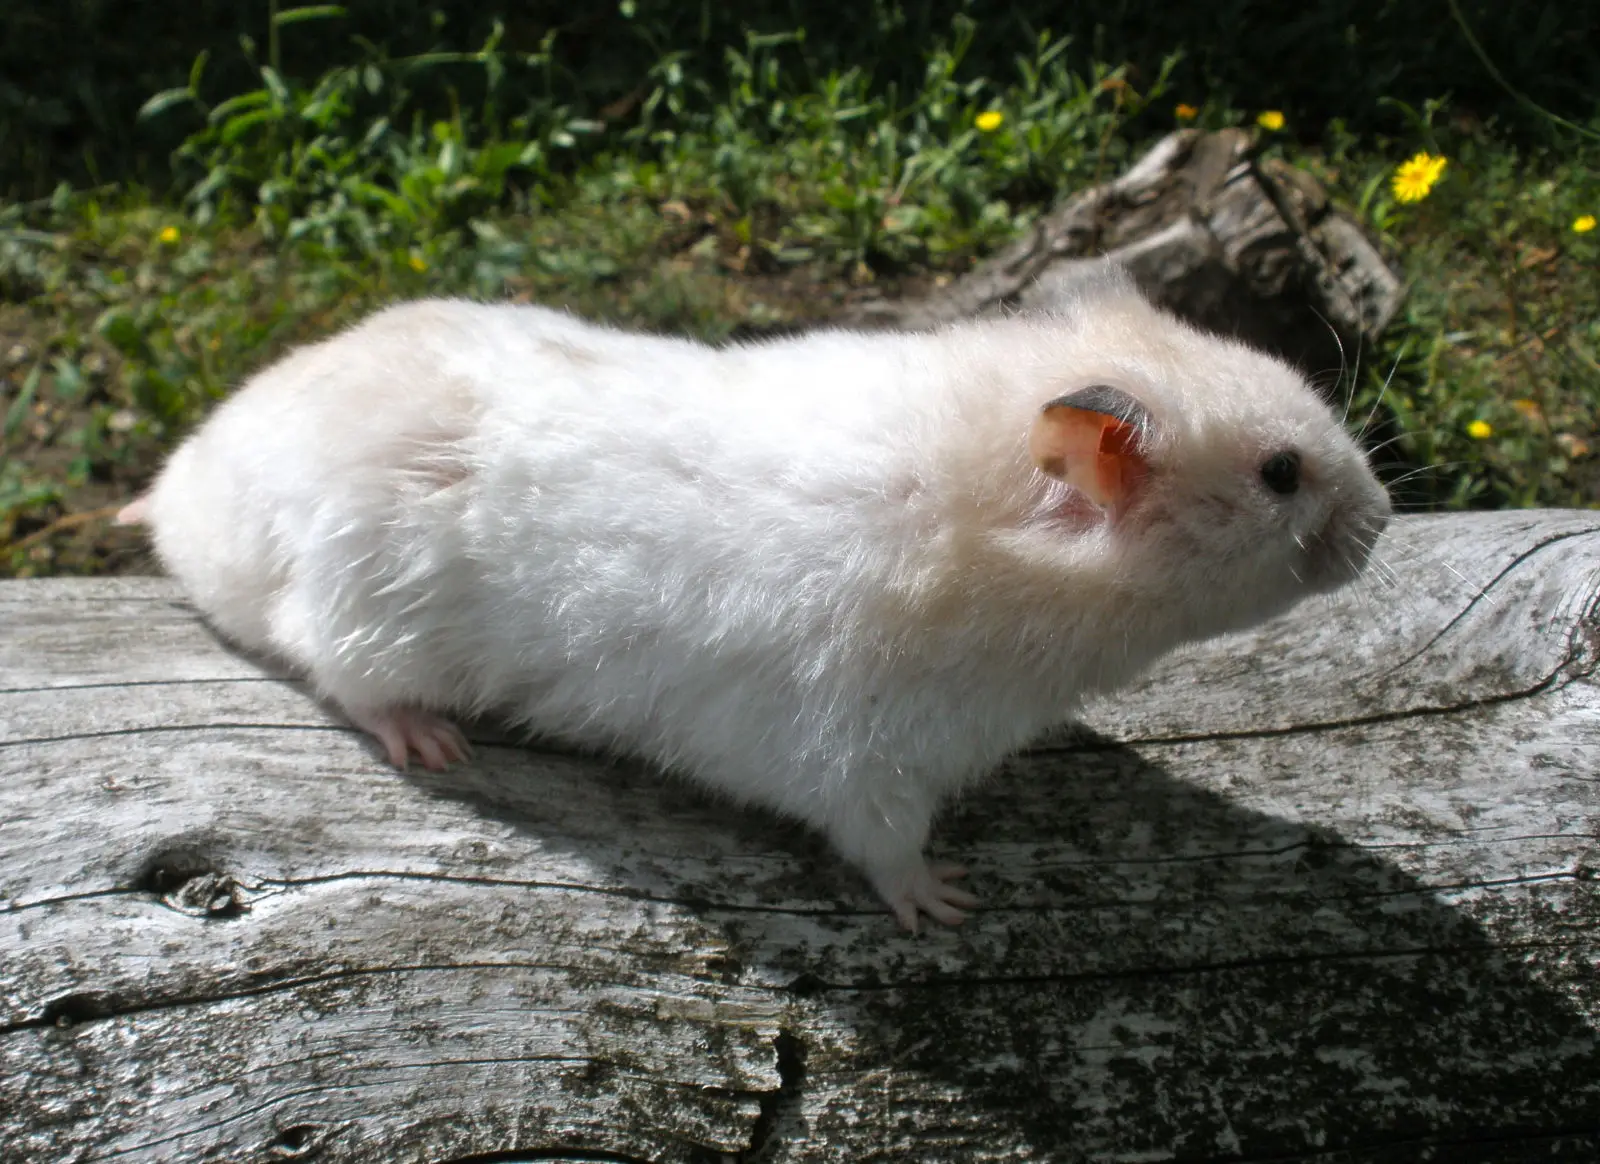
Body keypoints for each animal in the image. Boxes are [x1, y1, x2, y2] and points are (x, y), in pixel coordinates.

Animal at [121, 265, 1391, 931]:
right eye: (1280, 473)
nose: (1381, 519)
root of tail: (186, 486)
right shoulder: (867, 757)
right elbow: (887, 850)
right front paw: (949, 904)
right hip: (363, 611)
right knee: (336, 671)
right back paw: (432, 744)